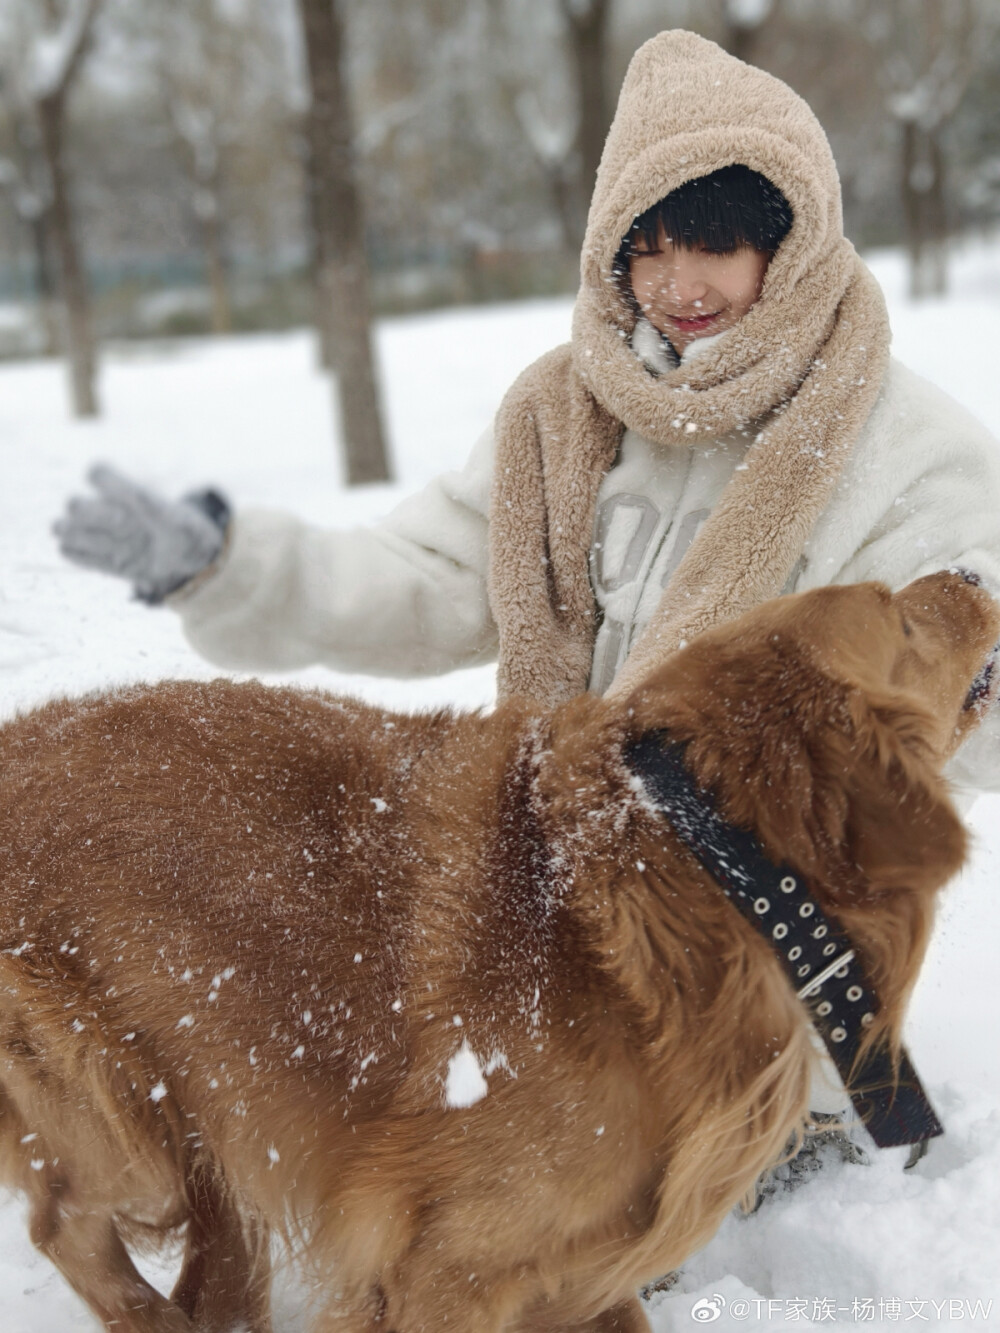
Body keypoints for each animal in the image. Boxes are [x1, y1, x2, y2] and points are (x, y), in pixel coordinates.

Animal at [0, 573, 997, 1333]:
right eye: (899, 614)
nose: (973, 572)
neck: (689, 861)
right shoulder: (444, 1271)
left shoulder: (582, 1271)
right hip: (125, 1126)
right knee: (69, 1223)